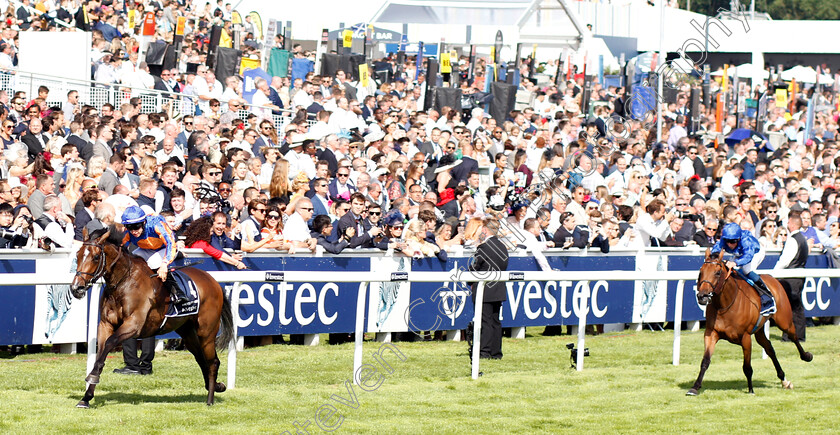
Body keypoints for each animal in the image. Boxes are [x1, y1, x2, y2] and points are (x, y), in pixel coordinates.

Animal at [68, 230, 233, 410]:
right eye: (77, 255)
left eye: (96, 257)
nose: (76, 288)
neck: (123, 283)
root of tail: (214, 282)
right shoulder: (105, 324)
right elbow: (100, 353)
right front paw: (86, 397)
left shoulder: (133, 325)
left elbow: (110, 343)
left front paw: (92, 376)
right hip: (187, 332)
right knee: (201, 359)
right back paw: (216, 386)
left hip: (206, 332)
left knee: (213, 362)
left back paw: (210, 399)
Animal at [688, 249, 812, 396]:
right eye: (700, 272)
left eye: (717, 272)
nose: (702, 296)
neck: (725, 305)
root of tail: (772, 278)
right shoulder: (711, 333)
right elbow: (705, 361)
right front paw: (695, 387)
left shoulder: (746, 337)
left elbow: (747, 366)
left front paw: (751, 390)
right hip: (759, 330)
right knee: (769, 348)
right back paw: (784, 380)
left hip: (784, 321)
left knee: (793, 336)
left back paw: (806, 356)